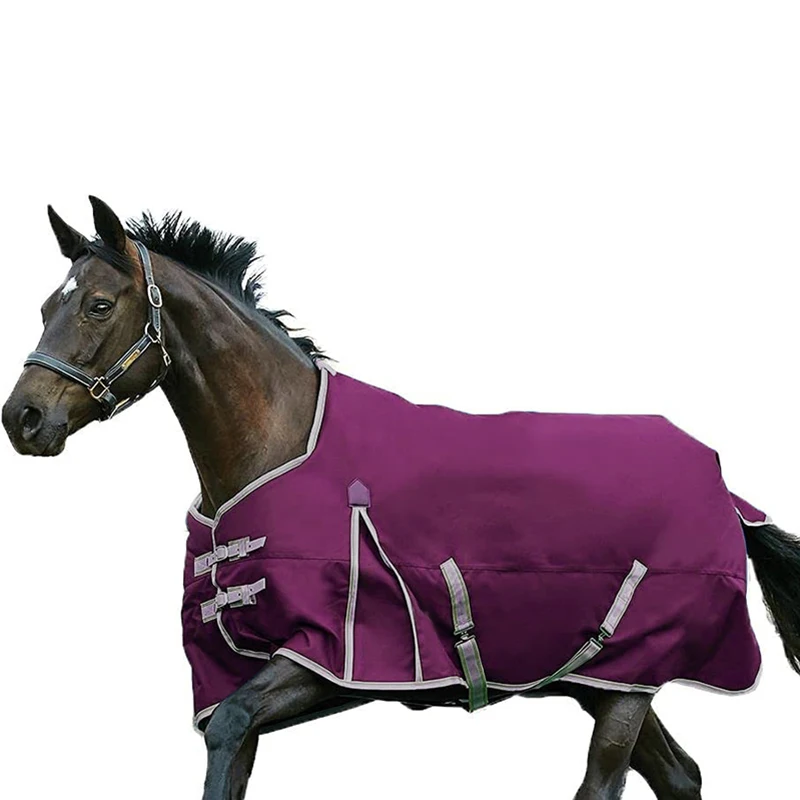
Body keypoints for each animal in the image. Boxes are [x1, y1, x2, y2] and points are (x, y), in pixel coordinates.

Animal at [4, 196, 799, 800]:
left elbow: (229, 726)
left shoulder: (326, 655)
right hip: (608, 678)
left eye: (98, 305)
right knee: (683, 776)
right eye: (45, 306)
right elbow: (228, 752)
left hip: (628, 681)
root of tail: (724, 487)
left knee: (604, 786)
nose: (23, 418)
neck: (279, 444)